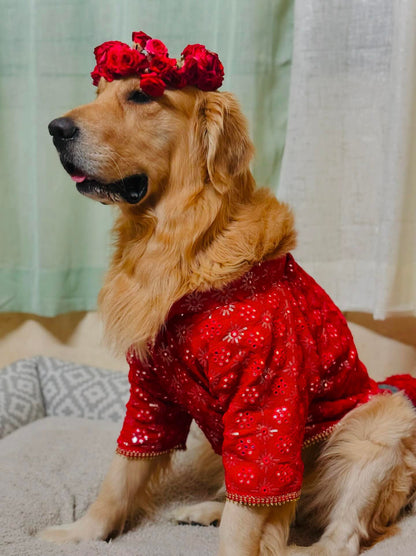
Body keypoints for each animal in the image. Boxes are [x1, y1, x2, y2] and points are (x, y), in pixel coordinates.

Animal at [40, 71, 416, 552]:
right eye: (98, 94)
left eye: (141, 94)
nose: (56, 129)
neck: (176, 244)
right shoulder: (152, 391)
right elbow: (121, 474)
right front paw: (81, 533)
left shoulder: (265, 401)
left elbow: (246, 514)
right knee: (256, 500)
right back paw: (204, 511)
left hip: (381, 424)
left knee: (334, 538)